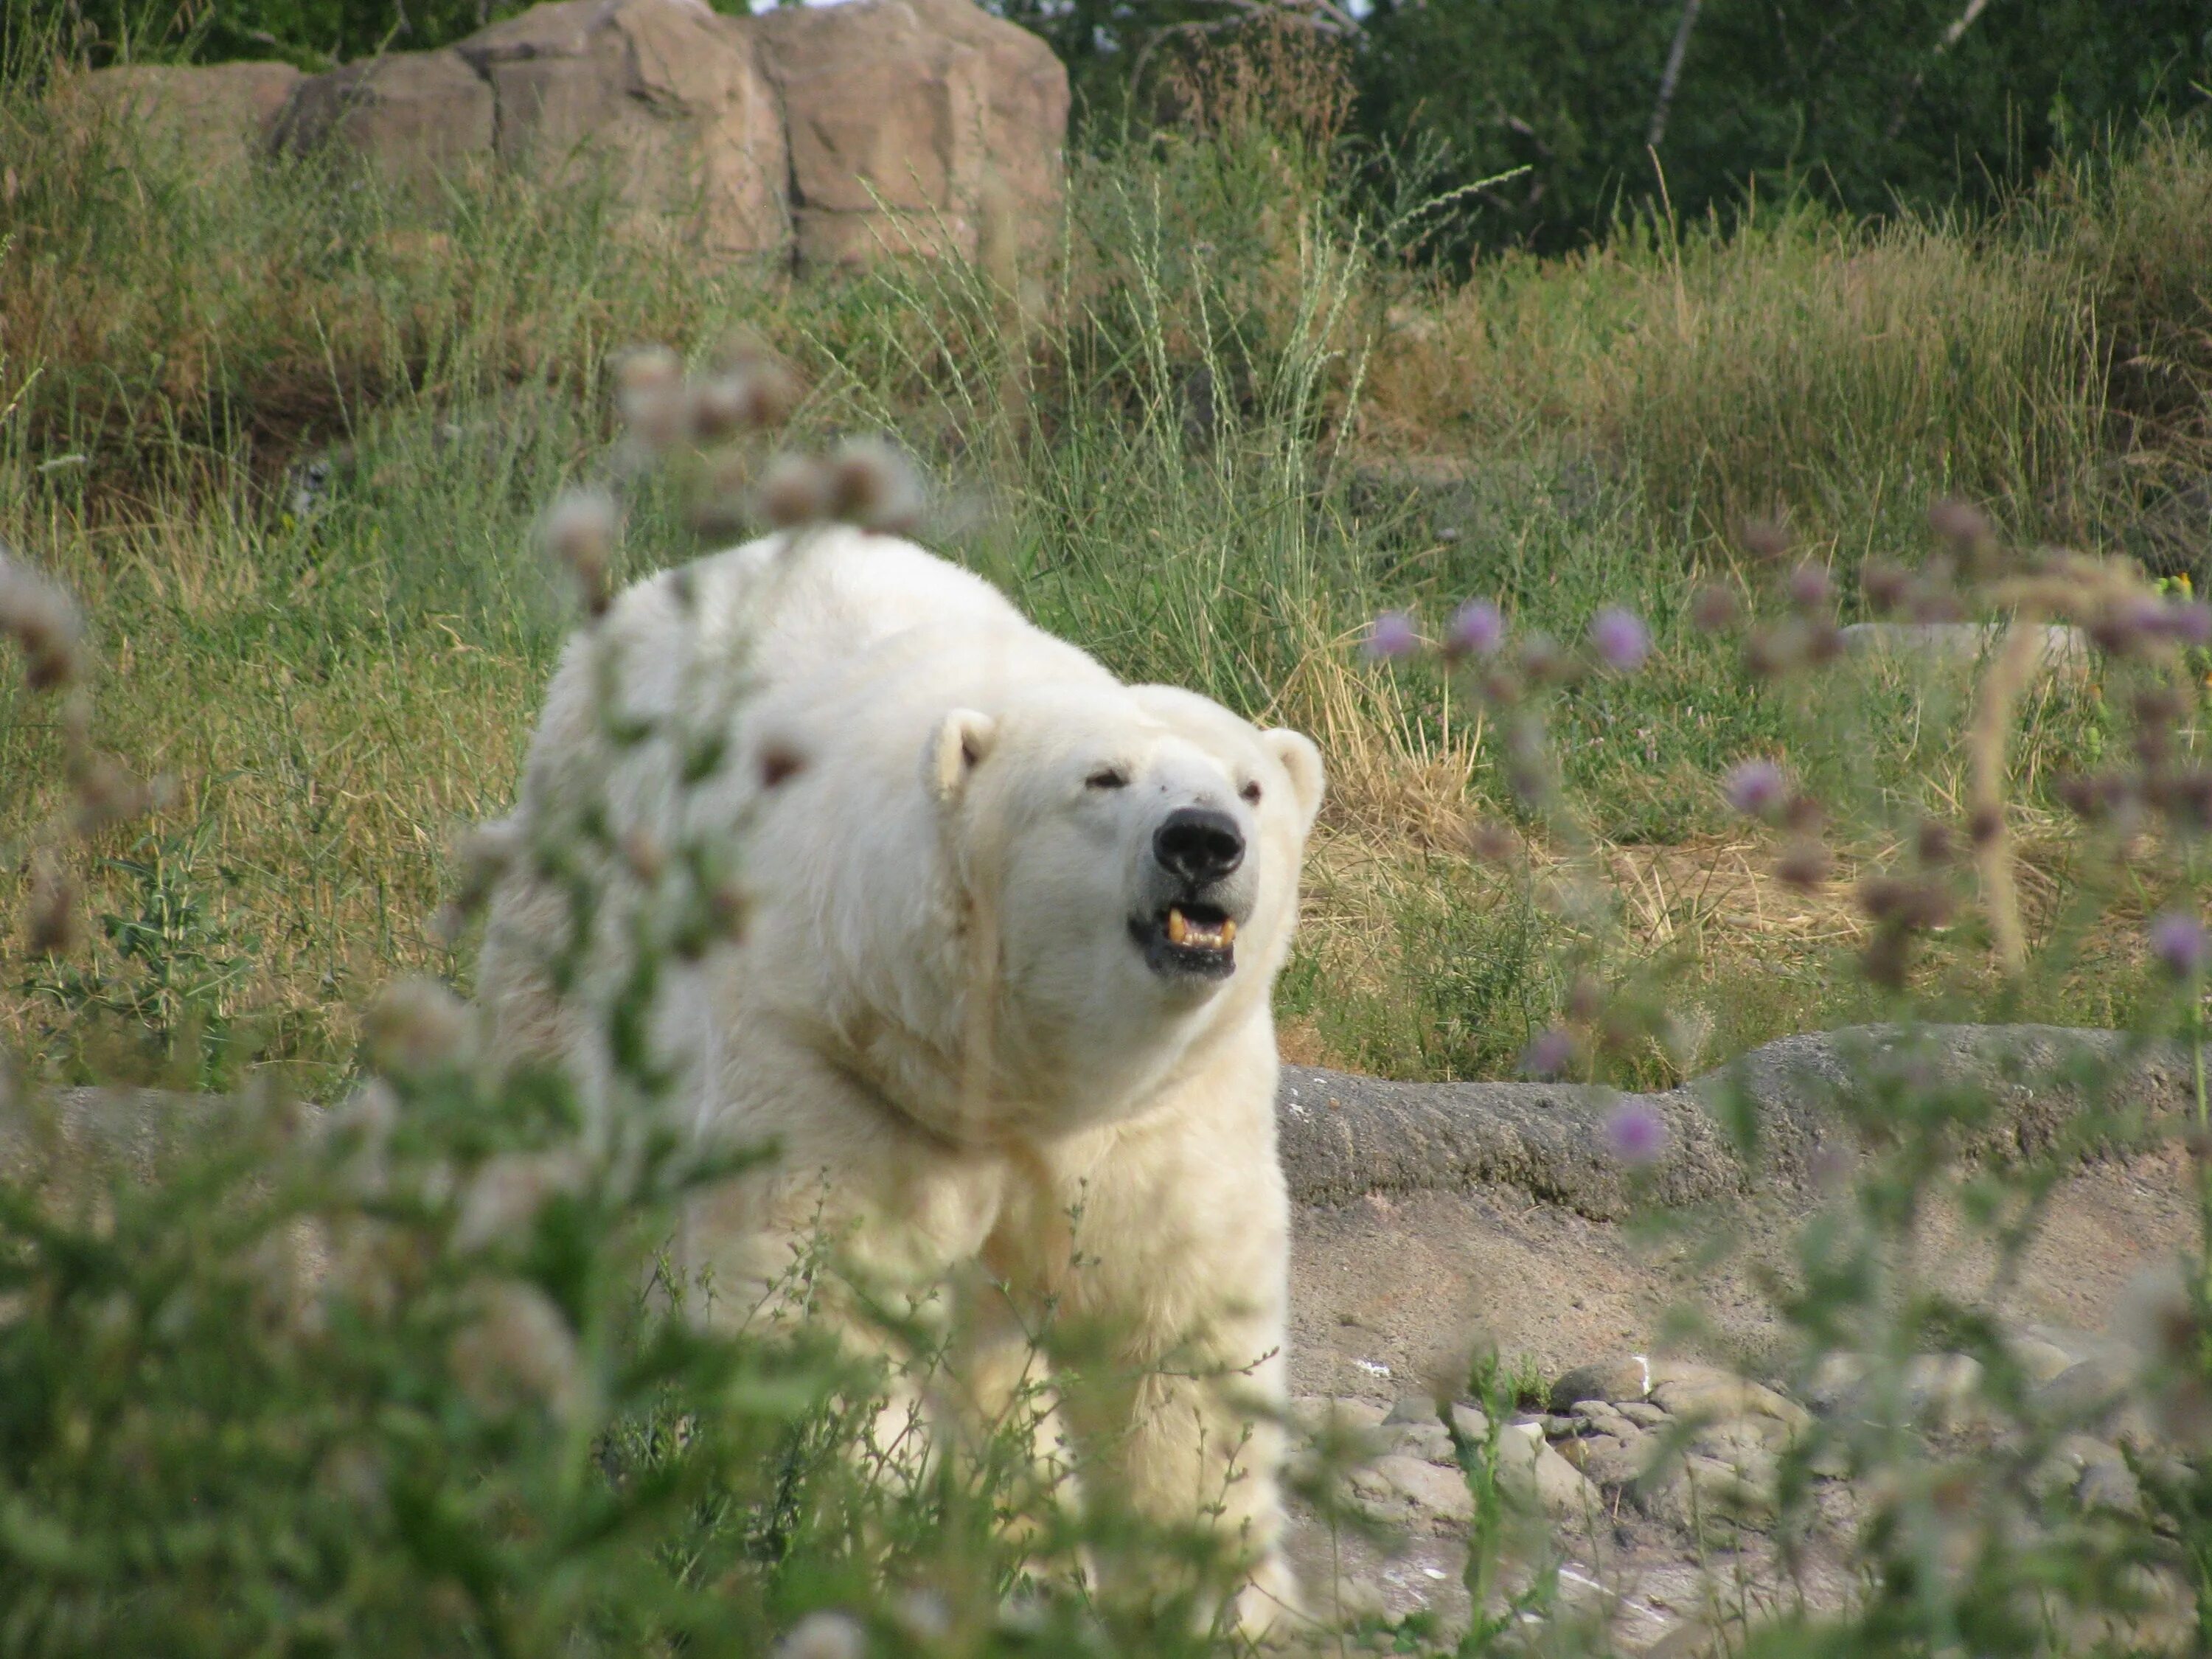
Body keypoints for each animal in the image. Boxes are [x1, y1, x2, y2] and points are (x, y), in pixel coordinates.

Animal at [476, 526, 1318, 1628]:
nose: (1202, 841)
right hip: (580, 902)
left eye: (1252, 786)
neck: (1016, 1063)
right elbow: (823, 1301)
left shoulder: (1165, 1104)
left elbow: (1177, 1326)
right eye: (1102, 778)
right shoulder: (830, 1057)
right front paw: (840, 1547)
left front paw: (1216, 1603)